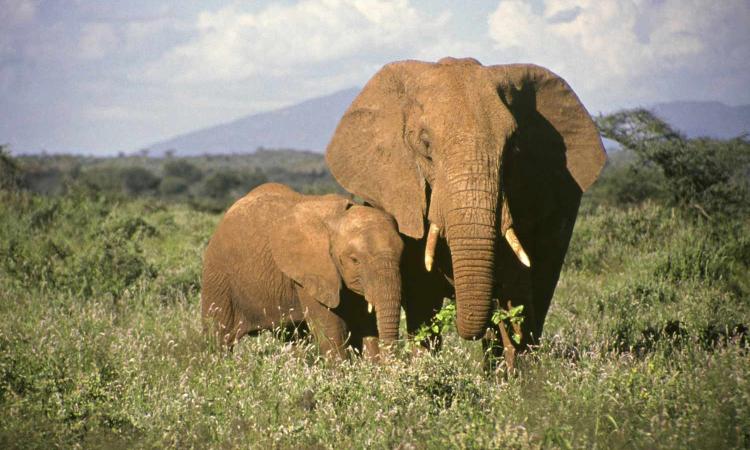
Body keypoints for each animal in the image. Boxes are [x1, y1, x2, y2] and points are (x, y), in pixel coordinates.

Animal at [200, 183, 404, 358]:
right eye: (354, 260)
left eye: (402, 254)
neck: (338, 218)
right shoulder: (311, 271)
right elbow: (331, 328)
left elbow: (365, 323)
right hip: (218, 276)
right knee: (218, 337)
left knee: (294, 337)